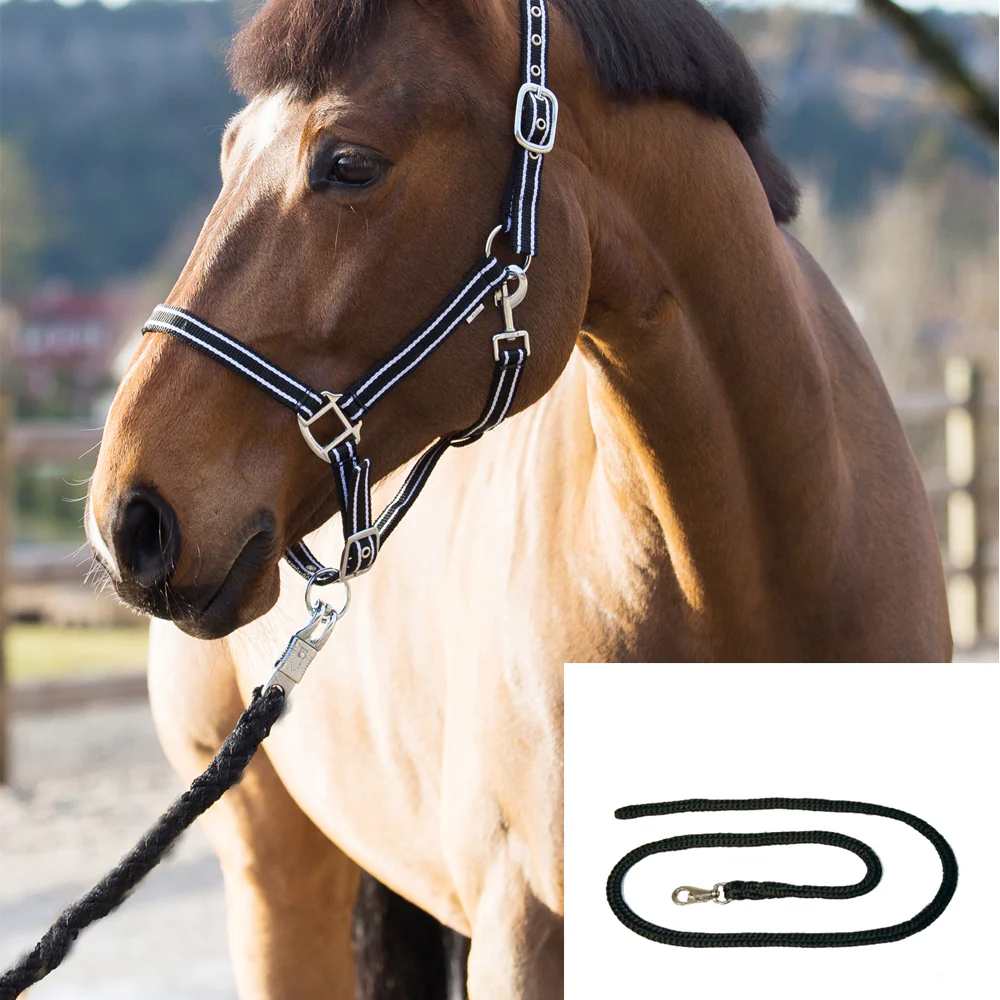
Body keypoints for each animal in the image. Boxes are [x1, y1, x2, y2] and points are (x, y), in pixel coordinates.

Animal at [86, 0, 952, 996]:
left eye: (349, 163)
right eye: (229, 154)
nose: (129, 516)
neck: (758, 579)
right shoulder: (529, 933)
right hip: (276, 882)